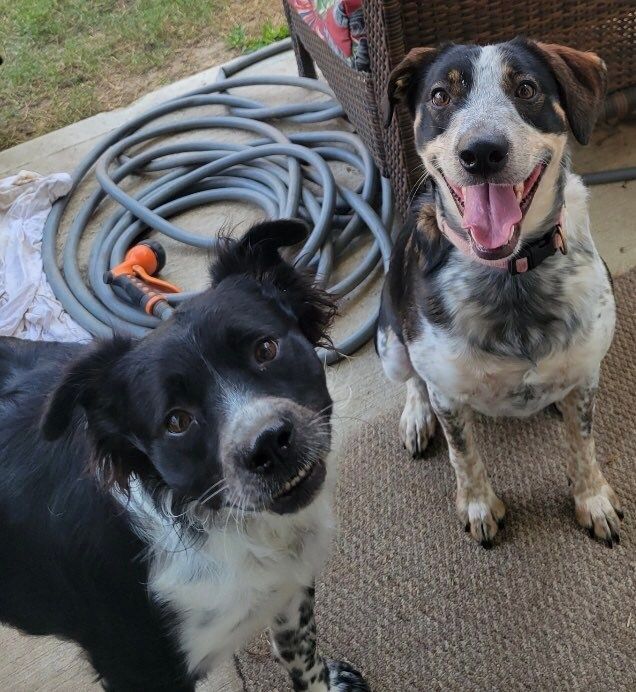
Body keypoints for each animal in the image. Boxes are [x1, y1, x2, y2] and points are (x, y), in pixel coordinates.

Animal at [0, 220, 370, 692]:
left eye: (266, 349)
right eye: (176, 421)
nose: (269, 444)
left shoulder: (290, 588)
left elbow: (304, 660)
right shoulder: (140, 669)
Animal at [378, 39, 620, 548]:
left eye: (526, 88)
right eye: (440, 96)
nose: (482, 152)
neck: (511, 275)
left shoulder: (588, 374)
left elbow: (583, 443)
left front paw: (592, 499)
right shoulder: (448, 394)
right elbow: (464, 456)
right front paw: (479, 507)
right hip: (389, 342)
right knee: (411, 379)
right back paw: (416, 418)